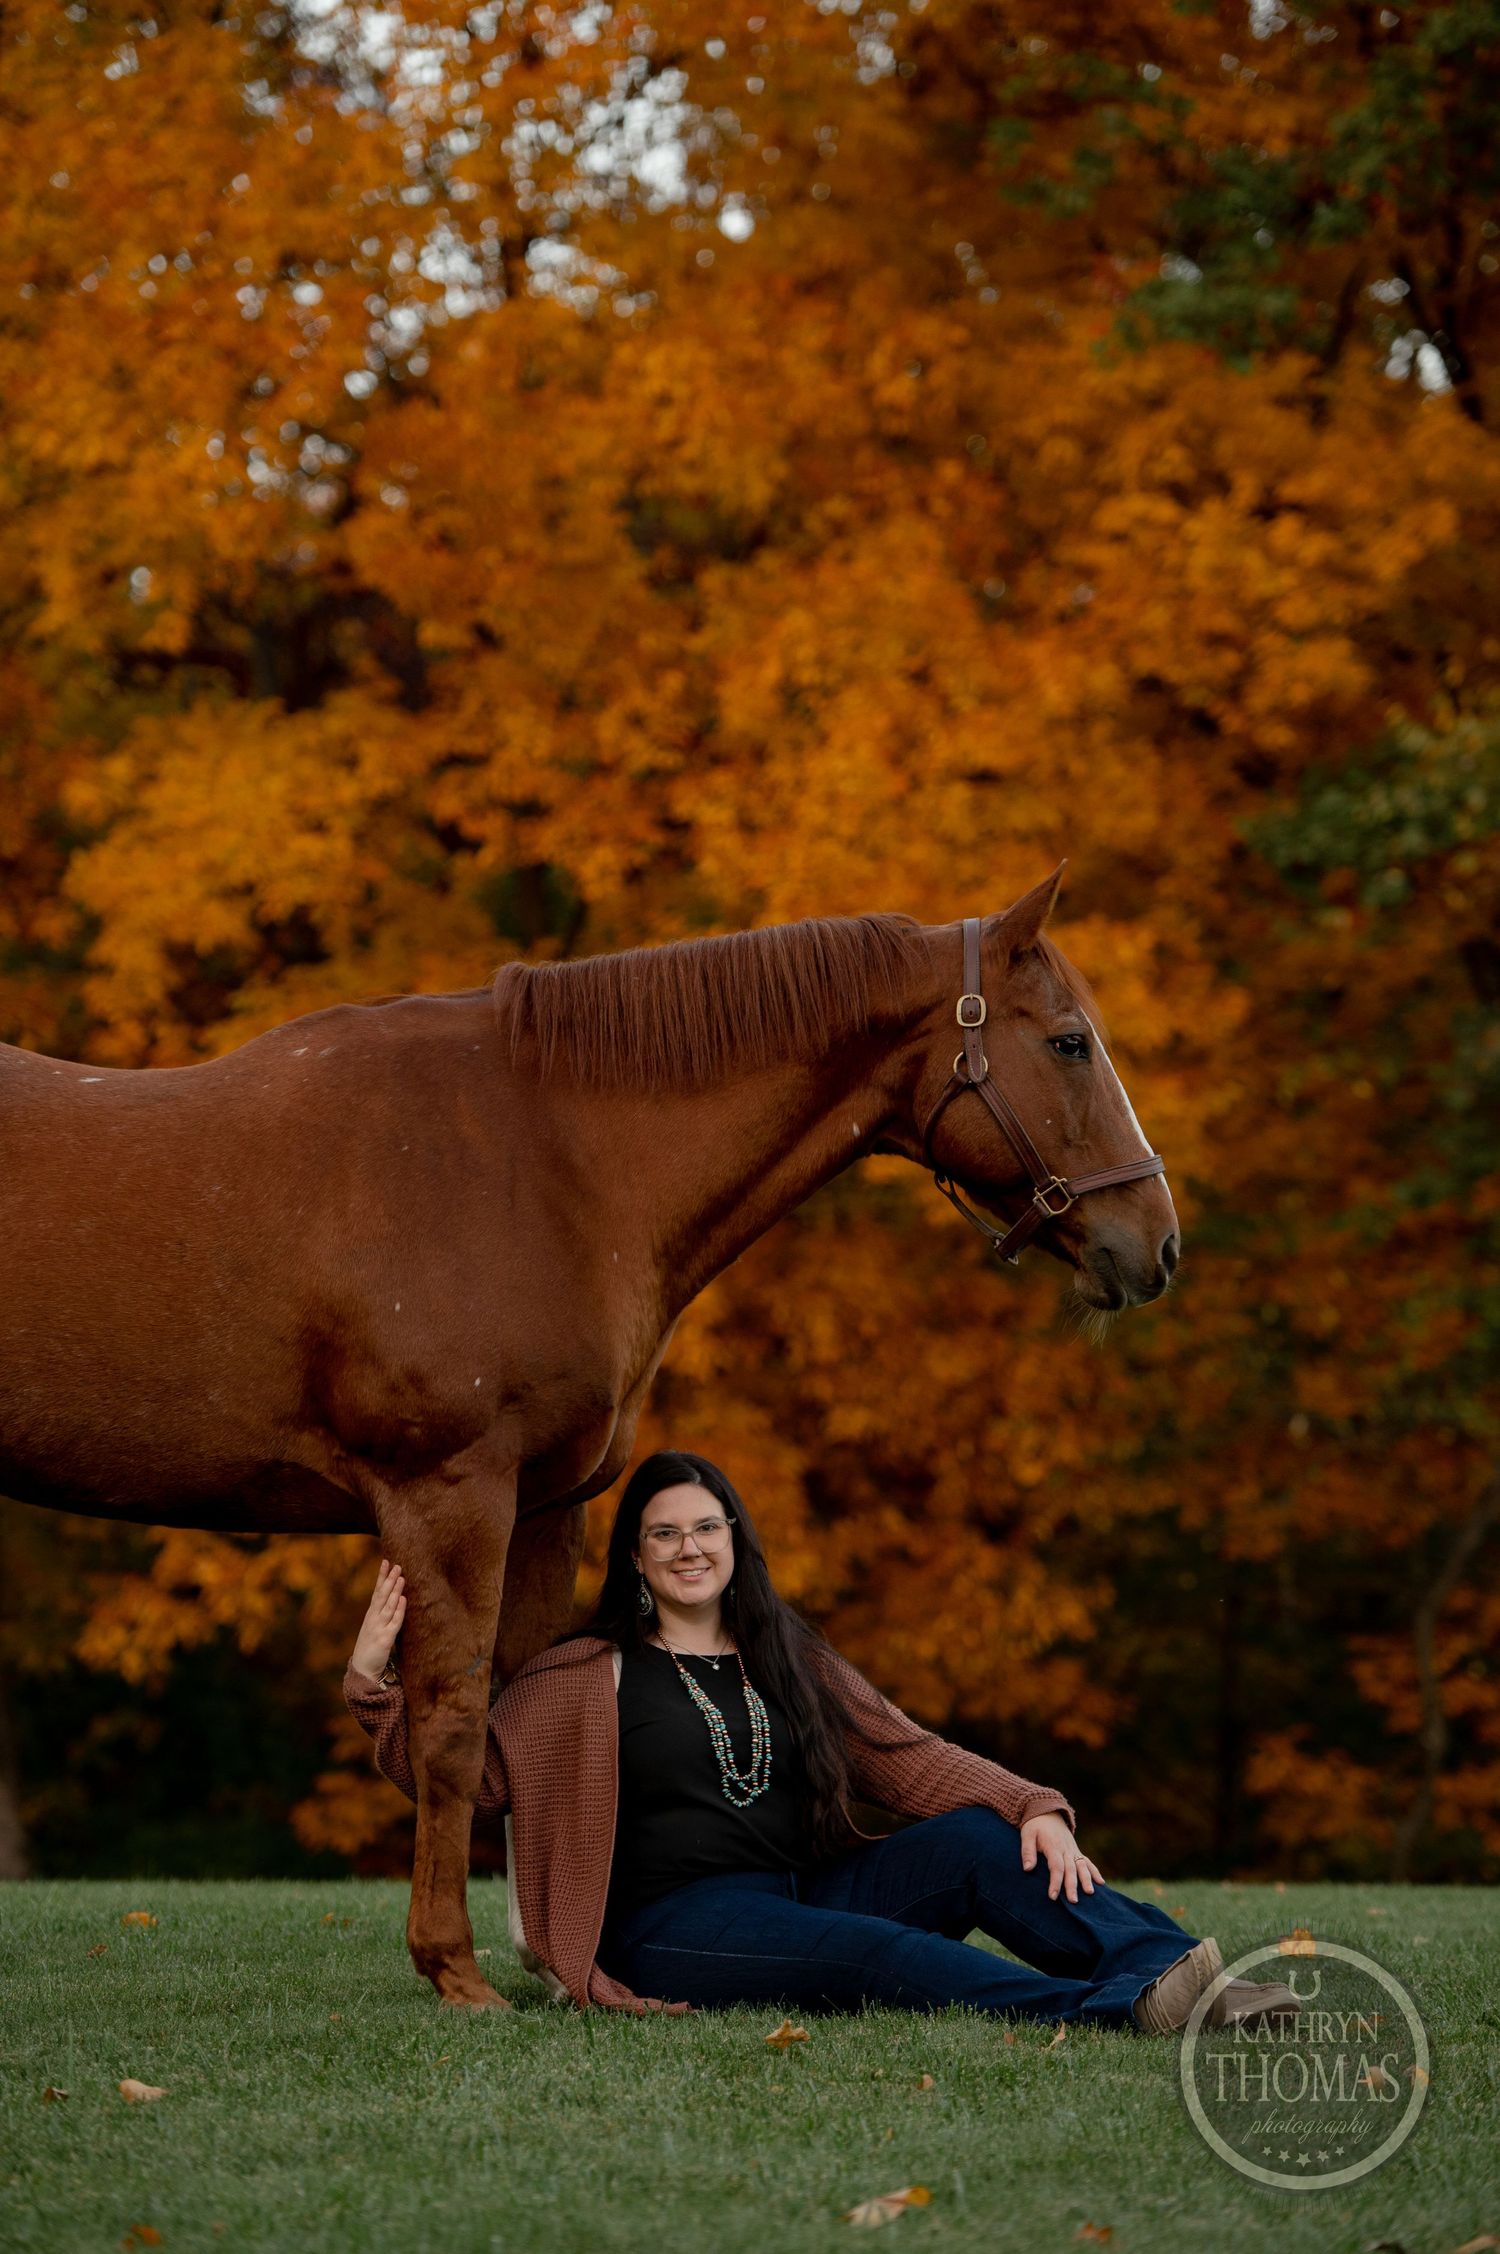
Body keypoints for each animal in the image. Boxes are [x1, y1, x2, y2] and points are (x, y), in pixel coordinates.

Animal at [0, 871, 1176, 2007]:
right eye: (1069, 1041)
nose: (1157, 1245)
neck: (550, 1160)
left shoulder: (541, 1506)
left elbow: (518, 1709)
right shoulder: (451, 1493)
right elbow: (452, 1723)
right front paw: (457, 1971)